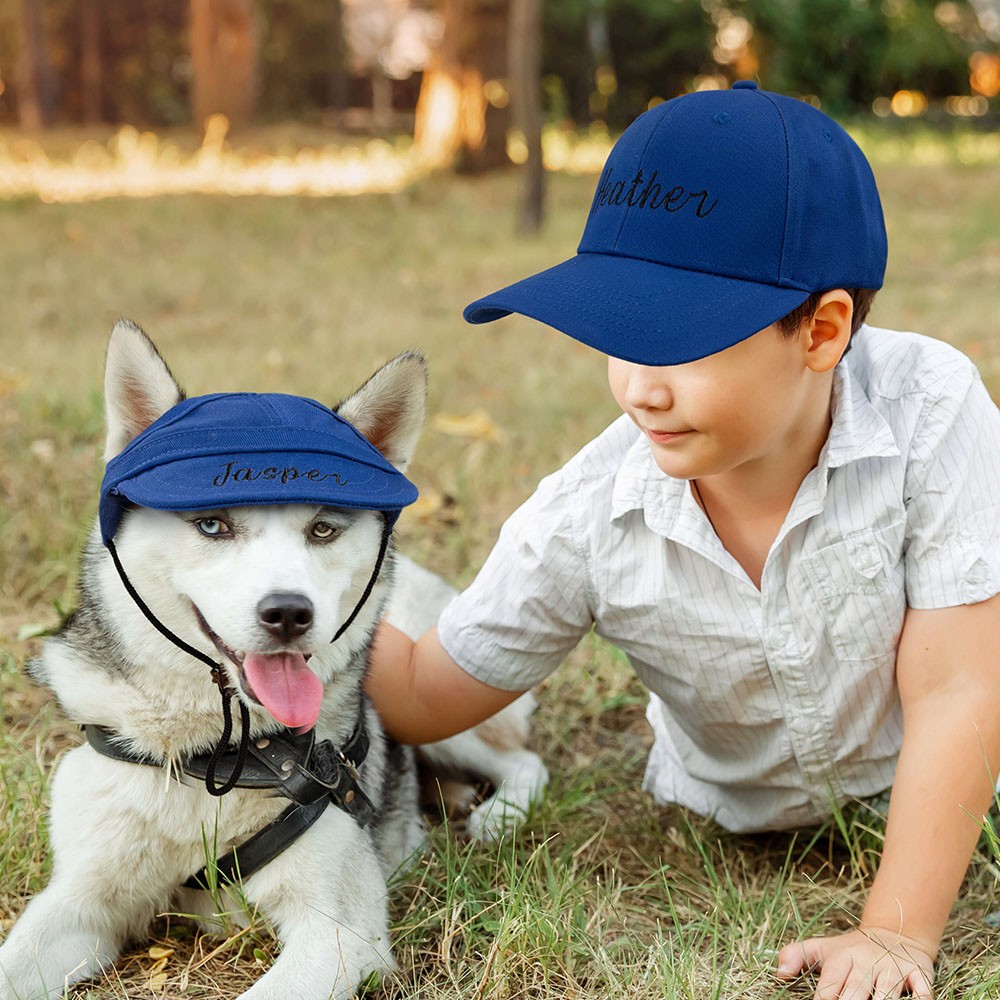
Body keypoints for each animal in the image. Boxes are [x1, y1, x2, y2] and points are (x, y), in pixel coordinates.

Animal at [0, 322, 548, 1000]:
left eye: (323, 529)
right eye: (212, 525)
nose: (289, 613)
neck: (219, 756)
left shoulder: (338, 935)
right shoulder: (80, 901)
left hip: (438, 708)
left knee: (521, 758)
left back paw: (497, 815)